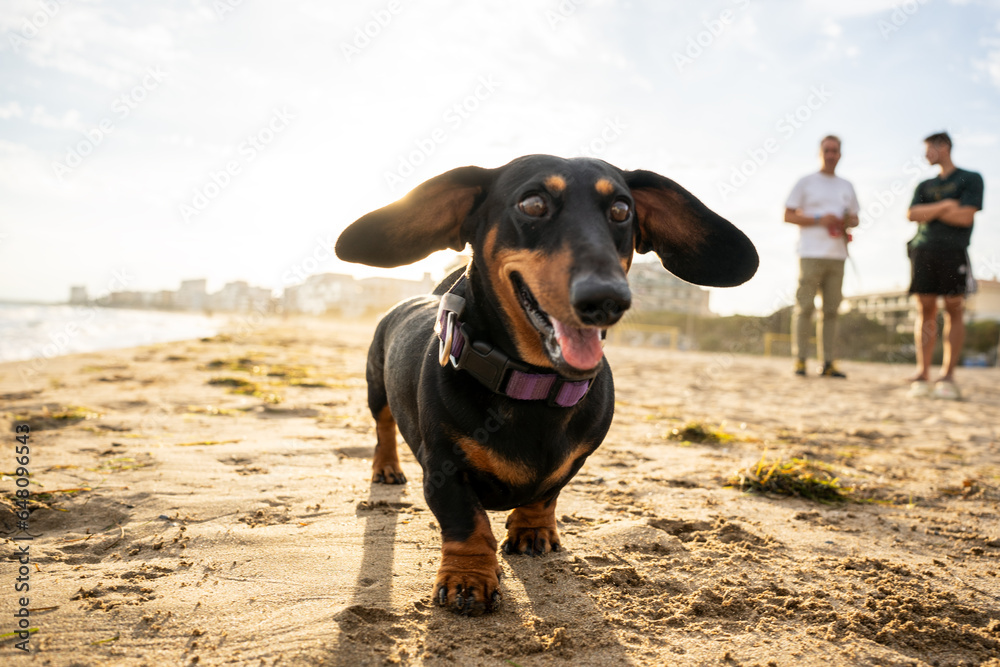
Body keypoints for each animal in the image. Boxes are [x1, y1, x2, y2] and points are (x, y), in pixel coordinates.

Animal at [336, 155, 756, 616]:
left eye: (621, 210)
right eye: (533, 203)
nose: (607, 299)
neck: (534, 384)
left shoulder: (575, 459)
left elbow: (546, 495)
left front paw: (532, 530)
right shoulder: (444, 468)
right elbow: (467, 521)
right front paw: (468, 578)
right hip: (376, 389)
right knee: (383, 428)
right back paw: (386, 468)